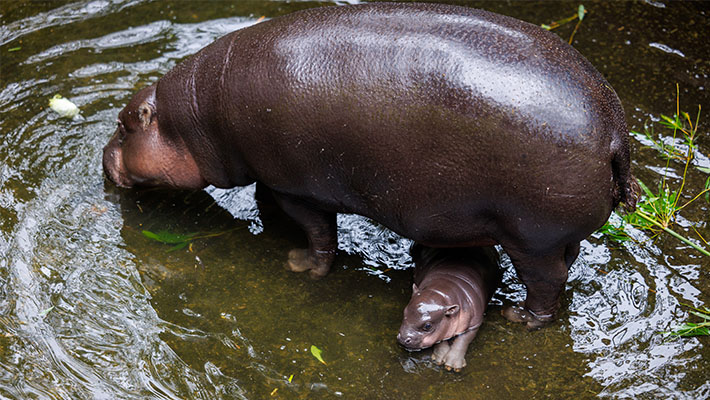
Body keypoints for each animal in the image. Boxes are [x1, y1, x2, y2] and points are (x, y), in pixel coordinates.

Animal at [104, 2, 640, 328]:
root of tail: (616, 132)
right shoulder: (272, 176)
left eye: (125, 125)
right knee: (568, 263)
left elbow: (320, 235)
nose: (104, 158)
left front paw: (301, 267)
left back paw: (521, 320)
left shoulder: (300, 188)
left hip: (532, 239)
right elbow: (264, 200)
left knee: (547, 284)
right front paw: (273, 231)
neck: (194, 117)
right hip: (554, 235)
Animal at [398, 244, 504, 372]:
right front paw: (439, 358)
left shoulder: (475, 323)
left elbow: (463, 340)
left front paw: (452, 365)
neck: (442, 291)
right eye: (404, 312)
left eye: (428, 326)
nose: (403, 338)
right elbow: (440, 339)